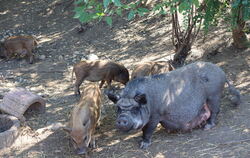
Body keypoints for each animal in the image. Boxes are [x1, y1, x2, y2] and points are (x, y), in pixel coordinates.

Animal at [107, 61, 240, 149]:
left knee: (215, 111)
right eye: (118, 108)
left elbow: (148, 130)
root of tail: (221, 71)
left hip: (214, 95)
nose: (122, 119)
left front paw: (143, 145)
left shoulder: (155, 115)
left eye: (135, 108)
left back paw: (207, 127)